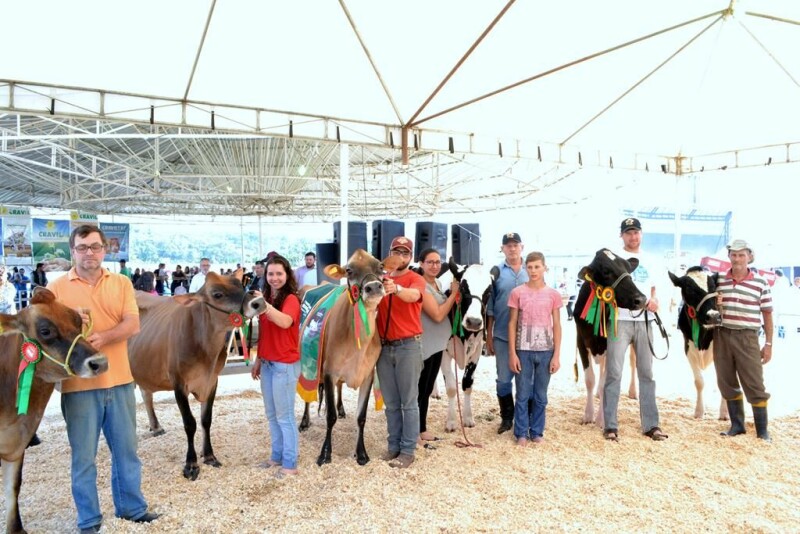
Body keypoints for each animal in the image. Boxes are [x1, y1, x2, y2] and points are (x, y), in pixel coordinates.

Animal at [128, 272, 266, 482]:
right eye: (217, 294)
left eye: (241, 285)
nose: (258, 301)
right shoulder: (178, 383)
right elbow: (190, 423)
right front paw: (191, 464)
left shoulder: (212, 381)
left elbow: (205, 419)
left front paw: (209, 455)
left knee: (146, 393)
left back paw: (156, 426)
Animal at [572, 249, 648, 430]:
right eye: (606, 271)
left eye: (628, 268)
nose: (641, 299)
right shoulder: (581, 342)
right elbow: (590, 380)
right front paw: (588, 416)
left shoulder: (612, 346)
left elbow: (604, 383)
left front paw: (602, 420)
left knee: (632, 363)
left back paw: (633, 392)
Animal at [668, 268, 732, 422]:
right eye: (689, 289)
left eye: (713, 287)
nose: (714, 316)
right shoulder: (689, 349)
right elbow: (699, 381)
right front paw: (699, 411)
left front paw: (724, 413)